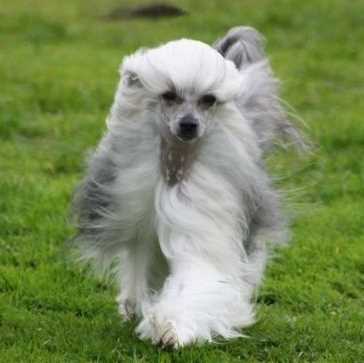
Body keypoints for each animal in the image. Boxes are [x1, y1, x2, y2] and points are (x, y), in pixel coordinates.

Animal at [72, 26, 304, 350]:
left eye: (209, 99)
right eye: (169, 95)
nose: (189, 125)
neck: (175, 165)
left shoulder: (201, 220)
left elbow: (196, 274)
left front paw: (170, 327)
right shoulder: (136, 219)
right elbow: (141, 261)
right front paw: (143, 311)